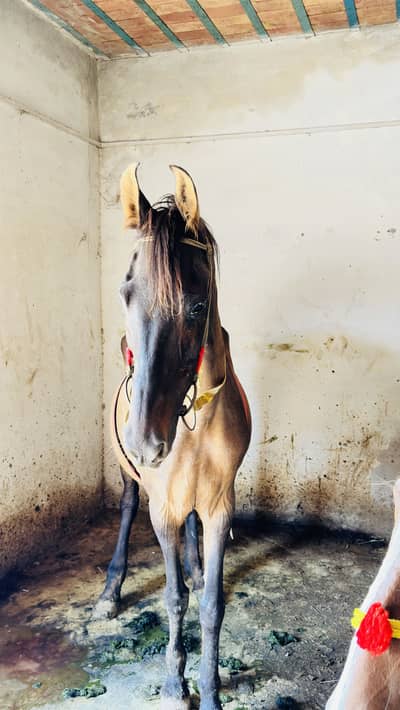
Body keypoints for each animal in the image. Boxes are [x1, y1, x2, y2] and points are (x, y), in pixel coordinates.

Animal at [94, 163, 251, 710]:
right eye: (125, 294)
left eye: (197, 305)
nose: (146, 443)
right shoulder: (161, 508)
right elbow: (174, 597)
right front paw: (172, 681)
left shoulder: (220, 504)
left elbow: (210, 604)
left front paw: (209, 688)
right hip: (130, 478)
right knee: (125, 507)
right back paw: (110, 591)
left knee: (192, 530)